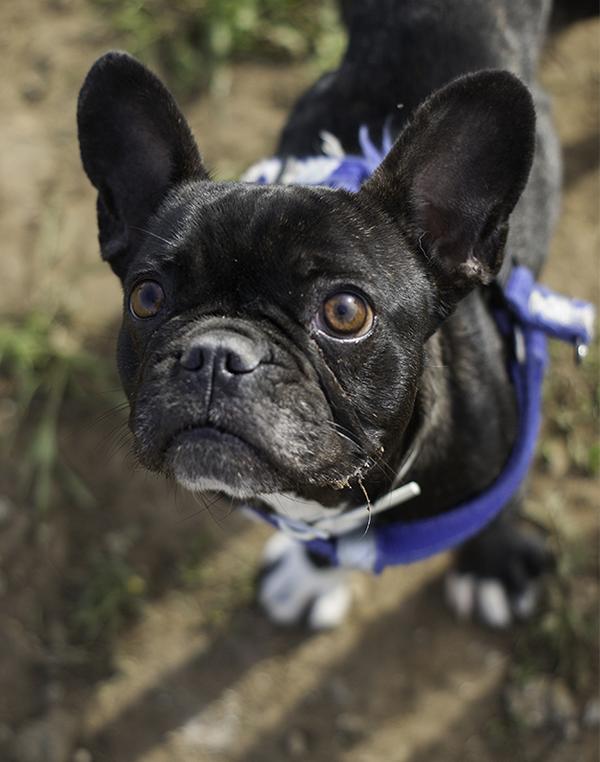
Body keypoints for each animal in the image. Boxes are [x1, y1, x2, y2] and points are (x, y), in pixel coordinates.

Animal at [77, 0, 562, 630]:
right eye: (147, 298)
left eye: (346, 312)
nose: (215, 354)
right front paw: (312, 574)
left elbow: (501, 505)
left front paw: (494, 564)